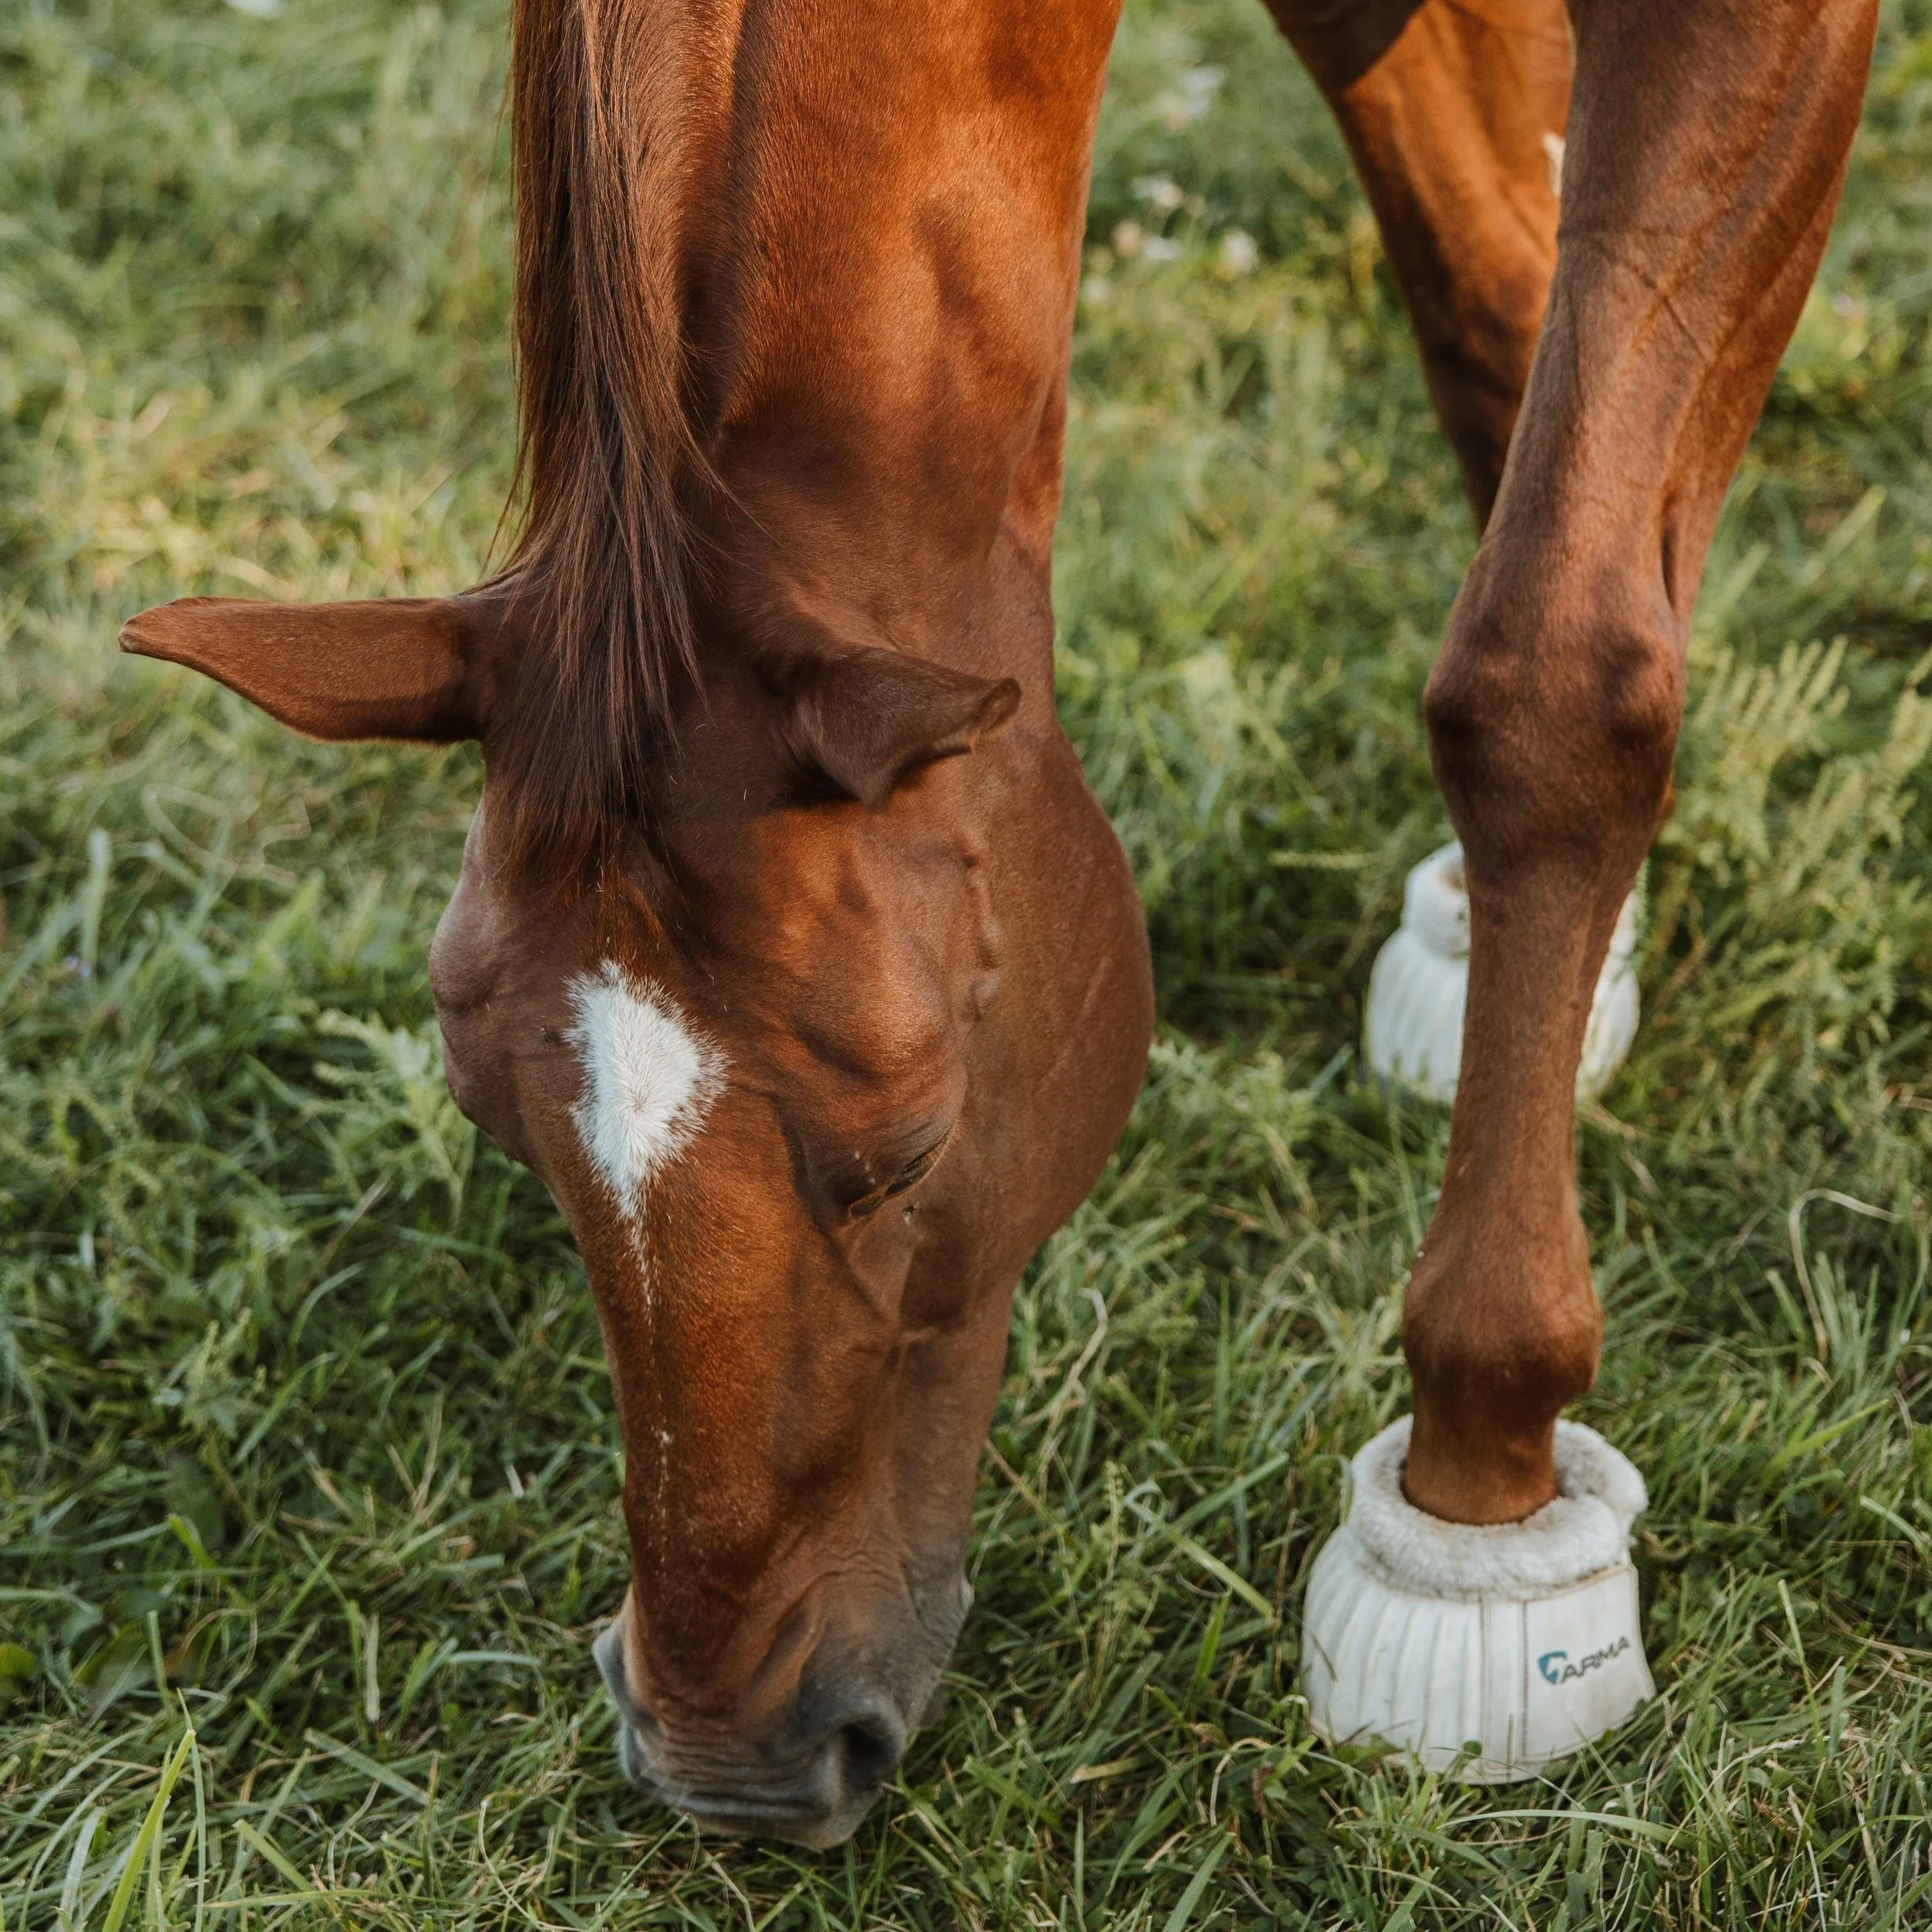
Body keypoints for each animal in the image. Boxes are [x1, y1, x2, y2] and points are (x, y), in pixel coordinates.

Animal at [120, 0, 1877, 1846]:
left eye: (907, 1154)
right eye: (497, 1122)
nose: (730, 1760)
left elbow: (1547, 680)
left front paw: (1479, 1506)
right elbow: (1498, 330)